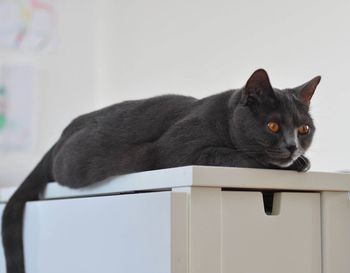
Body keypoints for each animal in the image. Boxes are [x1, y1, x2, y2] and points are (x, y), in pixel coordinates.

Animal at [2, 68, 320, 272]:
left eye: (304, 129)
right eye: (273, 125)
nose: (292, 146)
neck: (223, 117)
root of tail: (59, 138)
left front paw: (302, 161)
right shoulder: (178, 150)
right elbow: (238, 155)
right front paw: (296, 165)